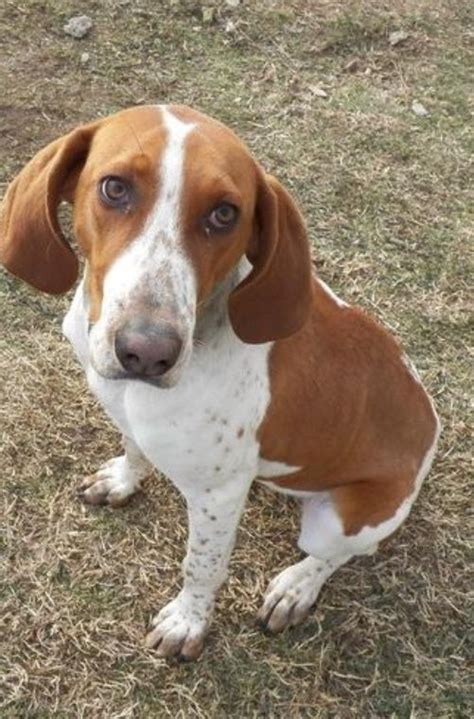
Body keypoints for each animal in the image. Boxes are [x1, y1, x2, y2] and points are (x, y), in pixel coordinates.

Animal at [0, 104, 438, 660]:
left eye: (225, 214)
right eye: (114, 188)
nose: (146, 353)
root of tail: (432, 424)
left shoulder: (218, 496)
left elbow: (202, 567)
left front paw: (187, 623)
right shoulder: (129, 418)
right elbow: (135, 450)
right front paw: (123, 479)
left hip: (341, 520)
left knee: (339, 554)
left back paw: (295, 588)